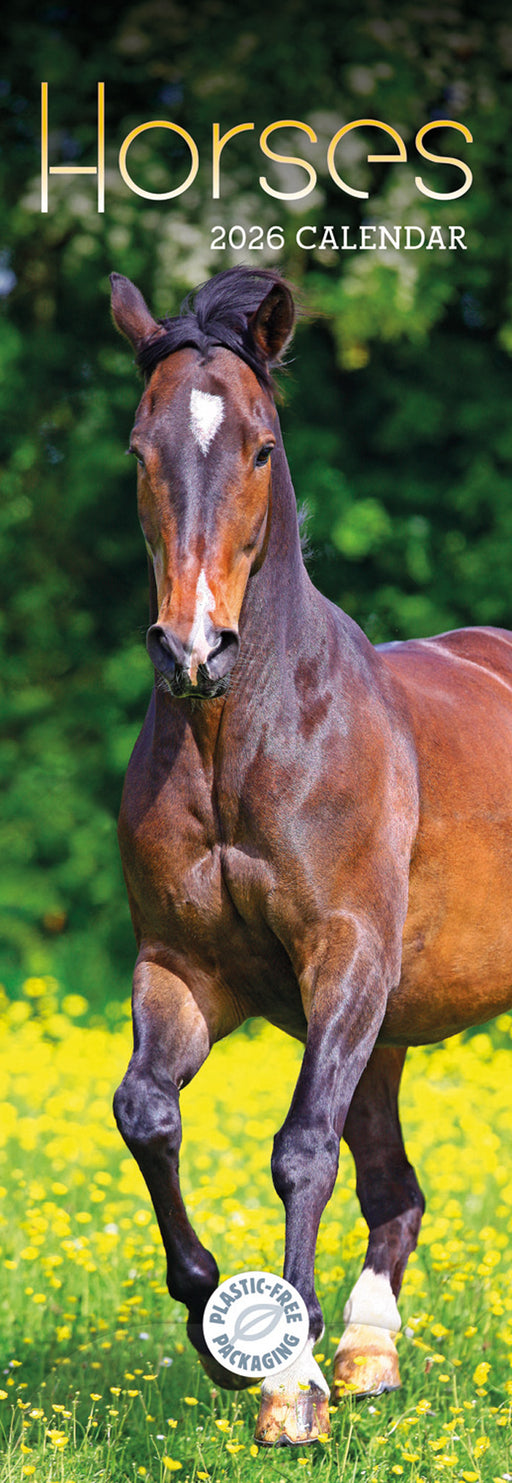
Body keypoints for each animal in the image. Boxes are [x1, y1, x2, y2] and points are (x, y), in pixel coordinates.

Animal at [110, 265, 512, 1446]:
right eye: (139, 448)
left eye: (259, 448)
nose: (193, 648)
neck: (243, 739)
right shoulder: (187, 971)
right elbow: (147, 1112)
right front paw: (222, 1330)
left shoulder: (345, 956)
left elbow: (300, 1149)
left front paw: (290, 1388)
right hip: (387, 1024)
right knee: (395, 1188)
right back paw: (370, 1351)